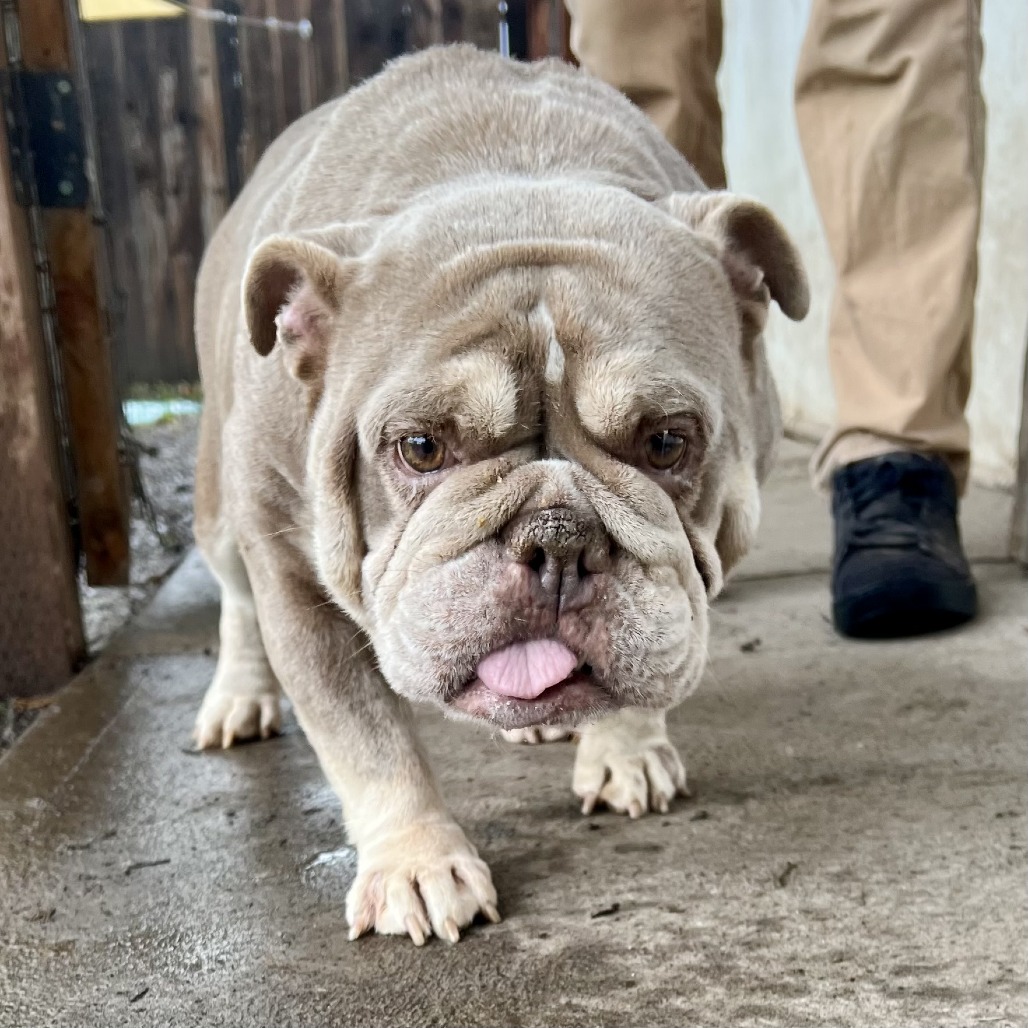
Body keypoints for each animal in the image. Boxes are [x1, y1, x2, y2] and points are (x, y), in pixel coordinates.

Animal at [192, 44, 808, 945]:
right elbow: (363, 736)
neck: (521, 175)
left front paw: (624, 748)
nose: (556, 537)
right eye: (420, 447)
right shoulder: (293, 583)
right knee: (233, 599)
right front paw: (416, 864)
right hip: (220, 511)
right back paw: (238, 699)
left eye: (667, 440)